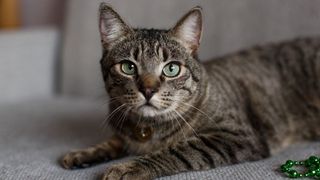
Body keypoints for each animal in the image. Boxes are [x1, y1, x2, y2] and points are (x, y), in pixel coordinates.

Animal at [60, 2, 320, 180]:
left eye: (172, 68)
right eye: (128, 67)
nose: (148, 89)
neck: (147, 130)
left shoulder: (234, 135)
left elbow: (178, 150)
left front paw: (129, 167)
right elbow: (113, 141)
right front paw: (85, 153)